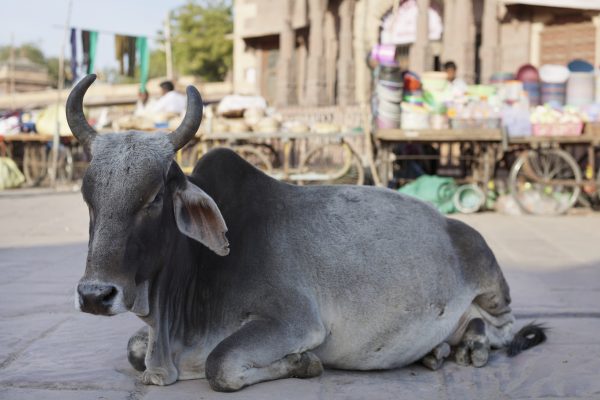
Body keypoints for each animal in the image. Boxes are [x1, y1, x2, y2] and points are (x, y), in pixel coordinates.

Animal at [70, 74, 544, 390]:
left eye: (153, 198)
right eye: (87, 196)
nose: (95, 295)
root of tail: (453, 225)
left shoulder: (293, 320)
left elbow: (219, 366)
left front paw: (304, 364)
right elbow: (135, 352)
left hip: (492, 281)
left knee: (502, 328)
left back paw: (471, 345)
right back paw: (441, 350)